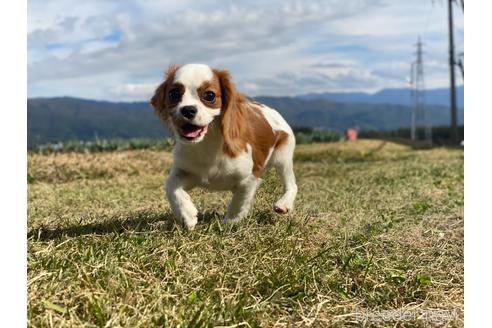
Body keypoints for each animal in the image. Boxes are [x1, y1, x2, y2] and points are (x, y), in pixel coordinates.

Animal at [150, 62, 296, 229]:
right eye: (173, 94)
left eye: (210, 95)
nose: (187, 109)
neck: (206, 144)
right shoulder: (185, 171)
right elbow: (170, 184)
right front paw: (186, 213)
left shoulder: (250, 176)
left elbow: (239, 201)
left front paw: (230, 222)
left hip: (283, 157)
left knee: (291, 183)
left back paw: (284, 204)